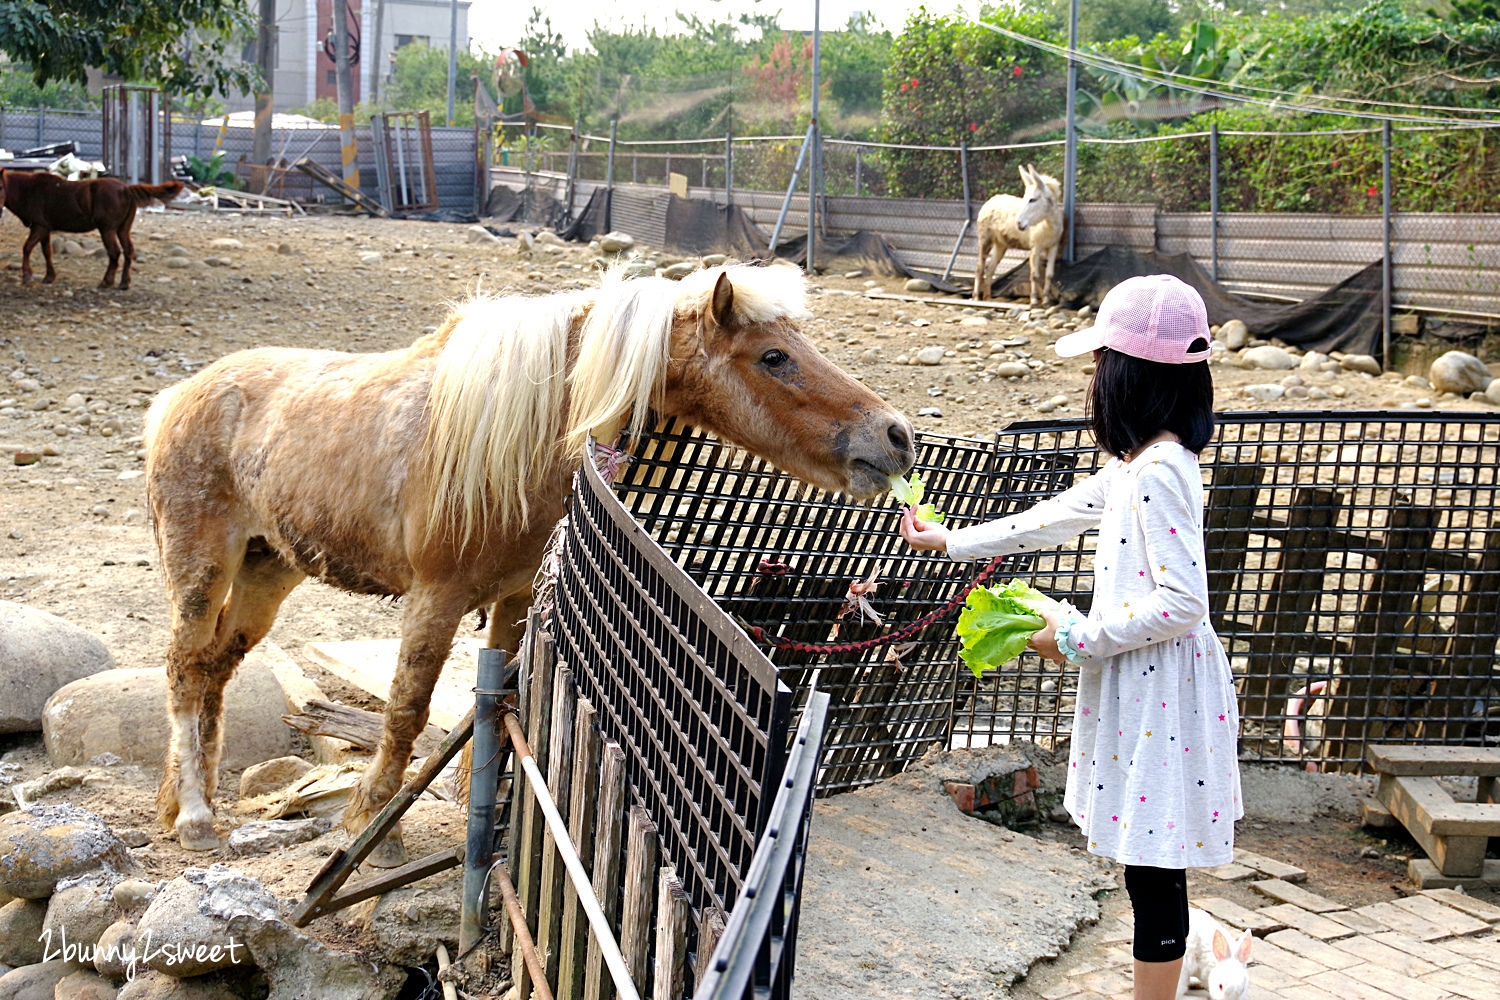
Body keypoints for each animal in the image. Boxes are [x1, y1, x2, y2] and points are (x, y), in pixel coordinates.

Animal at [0, 170, 186, 289]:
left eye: (1, 186)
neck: (30, 190)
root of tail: (126, 189)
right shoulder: (44, 229)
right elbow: (47, 252)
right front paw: (49, 276)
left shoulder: (39, 227)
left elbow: (27, 248)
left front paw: (27, 275)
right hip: (122, 229)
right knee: (128, 250)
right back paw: (123, 283)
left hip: (107, 230)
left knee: (114, 252)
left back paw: (106, 282)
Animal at [143, 262, 912, 863]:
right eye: (774, 356)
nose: (896, 436)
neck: (526, 432)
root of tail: (178, 398)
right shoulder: (437, 597)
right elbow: (406, 710)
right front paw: (373, 825)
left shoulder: (512, 598)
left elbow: (493, 701)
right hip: (202, 567)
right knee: (183, 669)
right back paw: (196, 818)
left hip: (270, 569)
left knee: (213, 669)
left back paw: (181, 802)